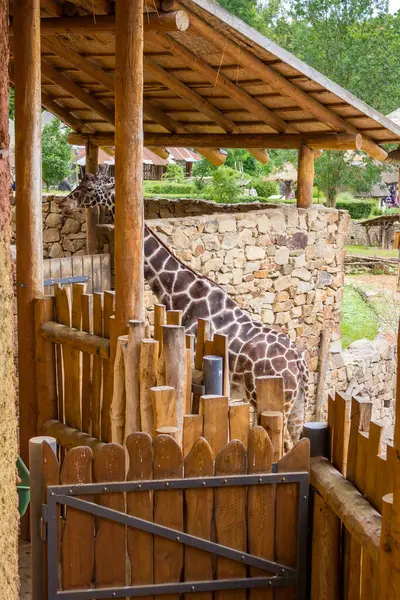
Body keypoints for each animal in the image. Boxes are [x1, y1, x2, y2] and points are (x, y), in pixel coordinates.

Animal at [63, 171, 310, 442]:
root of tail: (300, 366)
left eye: (88, 187)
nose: (65, 204)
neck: (180, 293)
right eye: (80, 182)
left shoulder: (191, 368)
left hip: (269, 399)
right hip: (295, 404)